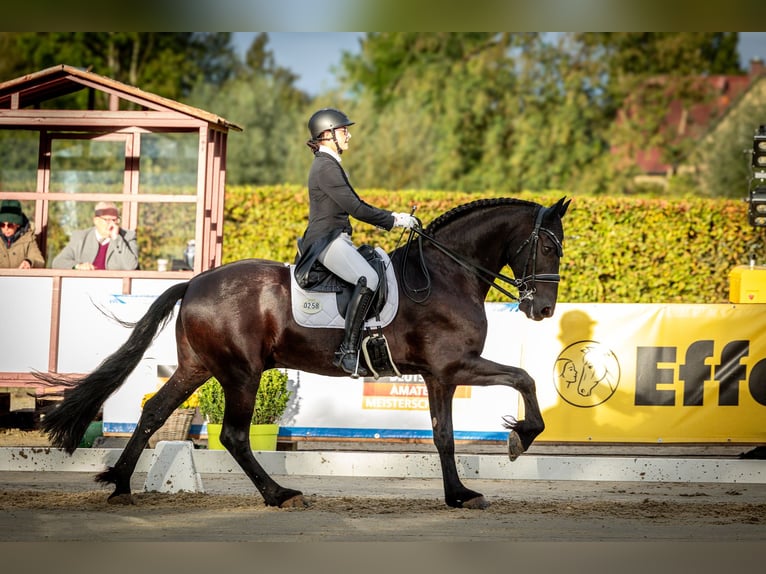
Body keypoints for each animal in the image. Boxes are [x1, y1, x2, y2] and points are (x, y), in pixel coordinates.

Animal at [40, 196, 570, 510]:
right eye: (547, 247)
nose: (542, 309)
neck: (444, 274)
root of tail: (193, 282)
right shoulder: (453, 366)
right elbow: (523, 378)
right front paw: (521, 438)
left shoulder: (439, 375)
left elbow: (444, 436)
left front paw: (458, 494)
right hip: (240, 372)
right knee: (233, 434)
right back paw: (279, 494)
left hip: (198, 367)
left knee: (154, 412)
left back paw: (120, 484)